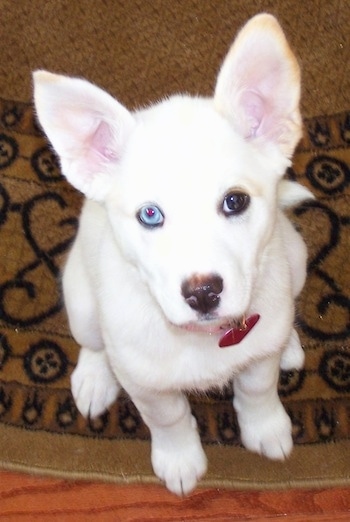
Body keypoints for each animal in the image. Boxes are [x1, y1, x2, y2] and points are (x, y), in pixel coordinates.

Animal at [34, 12, 314, 492]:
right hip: (81, 303)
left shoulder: (258, 357)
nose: (203, 293)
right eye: (150, 214)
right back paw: (93, 378)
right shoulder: (147, 385)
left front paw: (267, 429)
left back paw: (290, 344)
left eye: (235, 201)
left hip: (295, 257)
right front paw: (180, 461)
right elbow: (169, 419)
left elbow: (258, 388)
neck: (204, 339)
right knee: (93, 343)